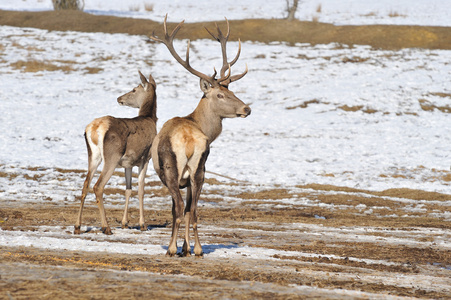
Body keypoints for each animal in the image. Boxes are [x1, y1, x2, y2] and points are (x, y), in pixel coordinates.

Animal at [75, 71, 158, 236]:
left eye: (133, 89)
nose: (119, 98)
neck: (150, 119)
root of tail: (94, 128)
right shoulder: (145, 158)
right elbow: (141, 190)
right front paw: (143, 224)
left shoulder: (128, 163)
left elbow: (128, 189)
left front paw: (125, 222)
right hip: (112, 156)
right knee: (98, 186)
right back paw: (106, 227)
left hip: (93, 156)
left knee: (85, 184)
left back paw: (77, 226)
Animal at [151, 15, 251, 255]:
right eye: (221, 94)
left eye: (231, 92)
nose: (247, 109)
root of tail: (188, 141)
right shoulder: (191, 178)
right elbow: (189, 210)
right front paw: (187, 248)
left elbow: (176, 210)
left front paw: (179, 247)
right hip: (200, 170)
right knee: (194, 209)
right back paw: (197, 249)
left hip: (171, 169)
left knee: (179, 208)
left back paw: (171, 249)